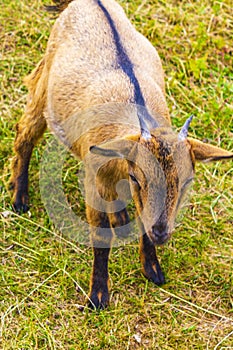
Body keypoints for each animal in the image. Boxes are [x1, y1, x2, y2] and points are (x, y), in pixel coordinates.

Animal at [10, 0, 233, 308]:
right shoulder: (96, 180)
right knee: (25, 133)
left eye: (188, 182)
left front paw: (152, 269)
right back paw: (19, 196)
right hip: (44, 87)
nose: (162, 233)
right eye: (138, 178)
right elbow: (101, 239)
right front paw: (98, 295)